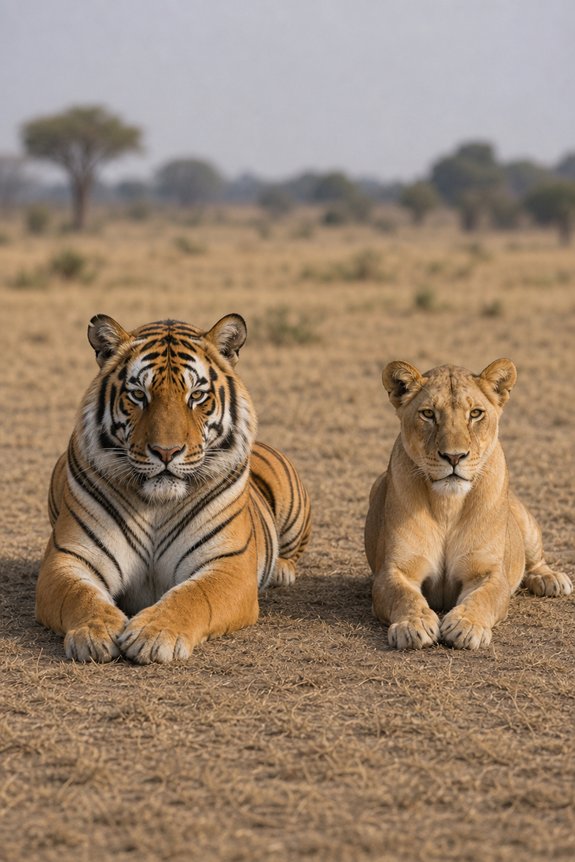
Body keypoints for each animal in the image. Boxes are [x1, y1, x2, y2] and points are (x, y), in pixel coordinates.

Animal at [36, 313, 311, 664]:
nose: (166, 452)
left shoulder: (227, 564)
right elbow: (79, 594)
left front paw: (153, 635)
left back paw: (281, 571)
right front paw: (95, 631)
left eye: (196, 396)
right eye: (139, 395)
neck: (157, 503)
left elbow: (193, 596)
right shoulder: (68, 558)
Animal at [364, 358, 572, 650]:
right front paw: (413, 625)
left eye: (475, 413)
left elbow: (483, 598)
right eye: (428, 414)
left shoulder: (489, 572)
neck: (447, 505)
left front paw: (465, 625)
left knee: (535, 560)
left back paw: (551, 579)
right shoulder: (395, 570)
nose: (454, 457)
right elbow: (403, 595)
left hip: (526, 522)